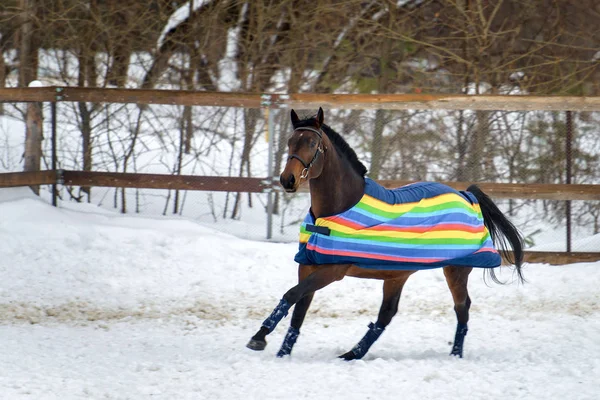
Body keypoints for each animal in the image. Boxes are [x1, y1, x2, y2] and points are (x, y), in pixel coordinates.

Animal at [246, 108, 524, 360]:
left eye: (312, 143)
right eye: (291, 141)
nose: (287, 180)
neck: (337, 208)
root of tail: (466, 195)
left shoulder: (333, 270)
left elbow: (292, 294)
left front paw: (259, 338)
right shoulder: (308, 266)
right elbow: (298, 310)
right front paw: (281, 352)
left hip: (455, 269)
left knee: (462, 308)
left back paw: (455, 354)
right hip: (397, 274)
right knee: (387, 314)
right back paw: (352, 354)